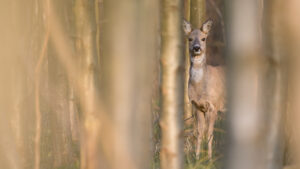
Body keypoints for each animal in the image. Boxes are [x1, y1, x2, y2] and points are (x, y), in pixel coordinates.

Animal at [183, 19, 225, 160]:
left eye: (203, 38)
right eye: (189, 39)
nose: (197, 48)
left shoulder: (213, 106)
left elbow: (210, 133)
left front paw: (210, 159)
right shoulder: (197, 106)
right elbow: (199, 133)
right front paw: (197, 158)